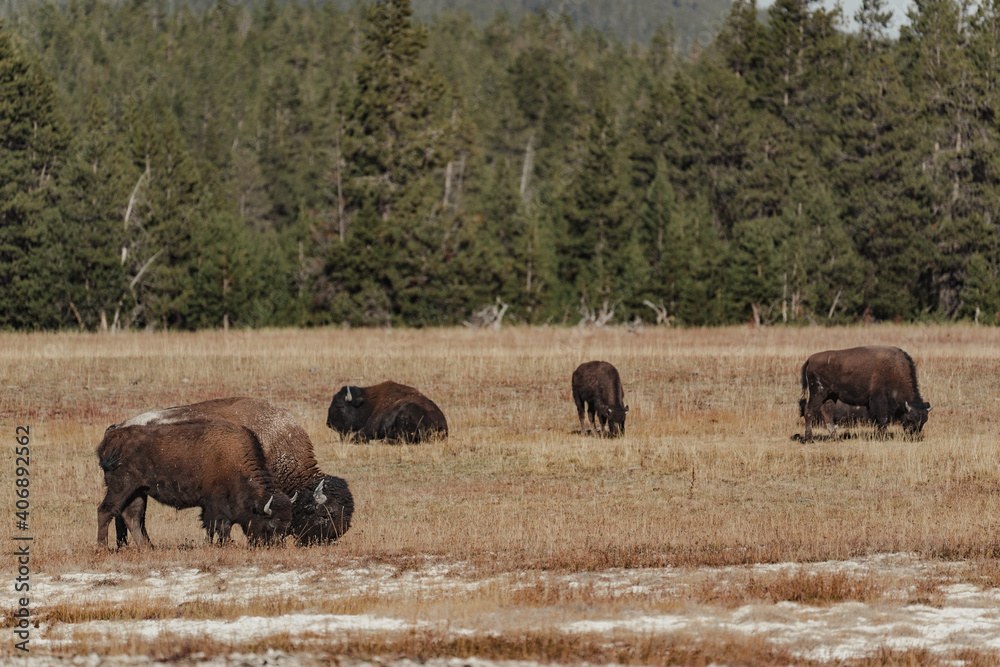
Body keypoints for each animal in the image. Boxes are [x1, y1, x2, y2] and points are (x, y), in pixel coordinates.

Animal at [96, 422, 292, 548]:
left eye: (287, 525)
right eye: (272, 524)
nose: (276, 546)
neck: (233, 459)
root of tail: (112, 438)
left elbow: (211, 527)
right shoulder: (216, 504)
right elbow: (222, 526)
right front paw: (226, 545)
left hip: (138, 491)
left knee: (132, 516)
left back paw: (147, 547)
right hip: (121, 486)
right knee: (105, 510)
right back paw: (102, 548)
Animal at [796, 344, 928, 444]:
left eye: (924, 421)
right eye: (910, 419)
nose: (914, 437)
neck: (894, 370)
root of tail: (810, 359)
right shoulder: (878, 400)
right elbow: (882, 418)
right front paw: (884, 437)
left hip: (831, 395)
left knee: (827, 412)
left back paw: (837, 438)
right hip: (818, 392)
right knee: (809, 410)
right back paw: (809, 440)